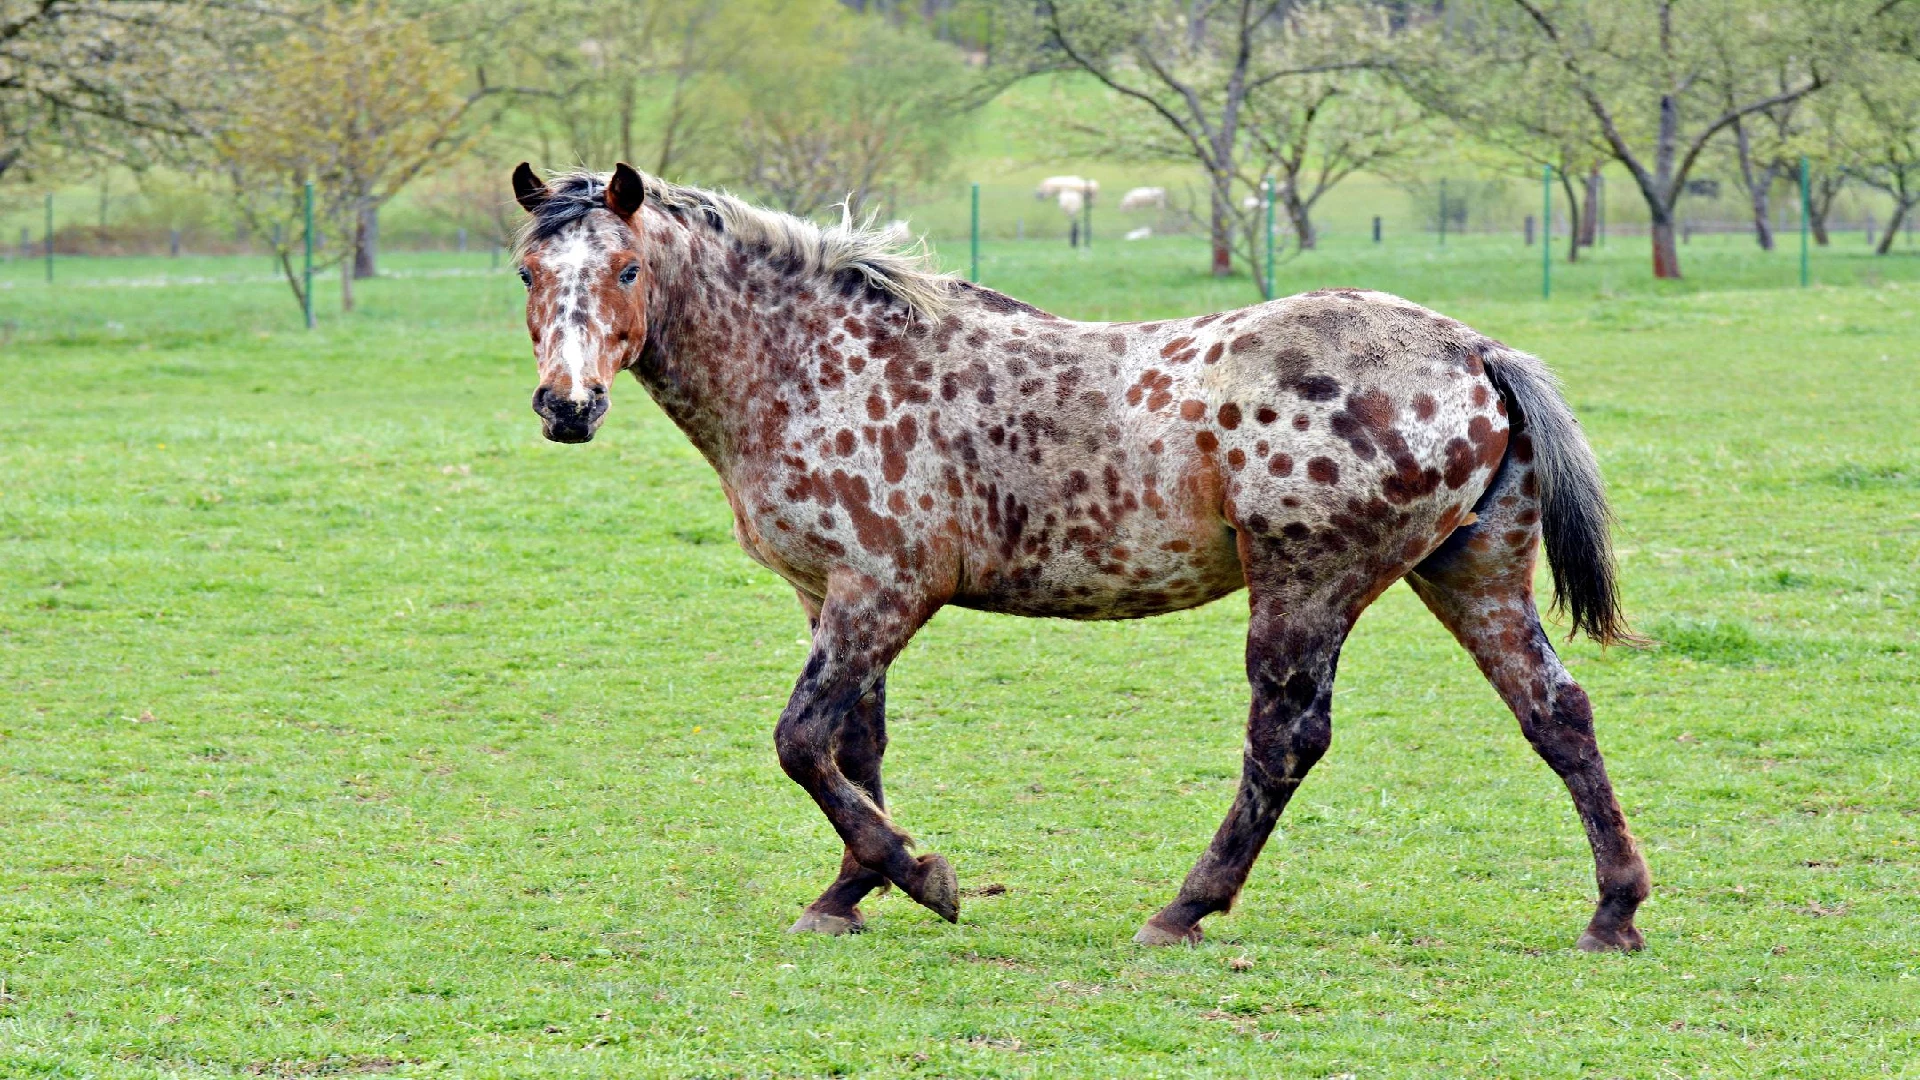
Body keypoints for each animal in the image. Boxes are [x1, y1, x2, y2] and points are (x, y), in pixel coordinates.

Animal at [506, 161, 1651, 949]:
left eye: (627, 267)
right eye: (527, 270)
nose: (568, 407)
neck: (817, 363)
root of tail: (1475, 351)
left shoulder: (882, 593)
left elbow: (800, 743)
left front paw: (919, 876)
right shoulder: (832, 597)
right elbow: (854, 750)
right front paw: (849, 894)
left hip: (1309, 584)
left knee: (1285, 740)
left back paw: (1184, 908)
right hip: (1470, 573)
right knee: (1557, 715)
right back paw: (1614, 910)